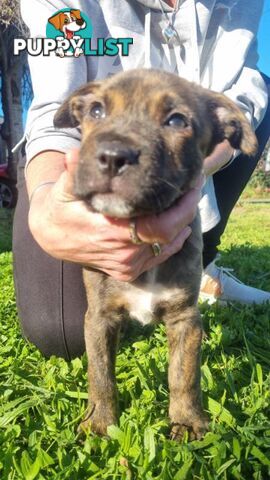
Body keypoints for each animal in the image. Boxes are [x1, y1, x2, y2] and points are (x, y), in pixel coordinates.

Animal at [53, 68, 256, 442]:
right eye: (96, 111)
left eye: (176, 121)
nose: (113, 155)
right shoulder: (99, 317)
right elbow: (100, 373)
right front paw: (100, 422)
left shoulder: (185, 318)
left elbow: (184, 375)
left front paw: (187, 421)